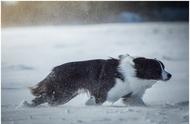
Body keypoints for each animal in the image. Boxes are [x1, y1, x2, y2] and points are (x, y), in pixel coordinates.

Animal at [27, 54, 171, 106]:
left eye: (163, 67)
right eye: (157, 69)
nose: (170, 75)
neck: (134, 74)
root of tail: (55, 70)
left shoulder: (133, 95)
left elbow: (138, 102)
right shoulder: (104, 92)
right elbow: (97, 101)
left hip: (65, 95)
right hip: (62, 93)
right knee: (46, 98)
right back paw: (26, 105)